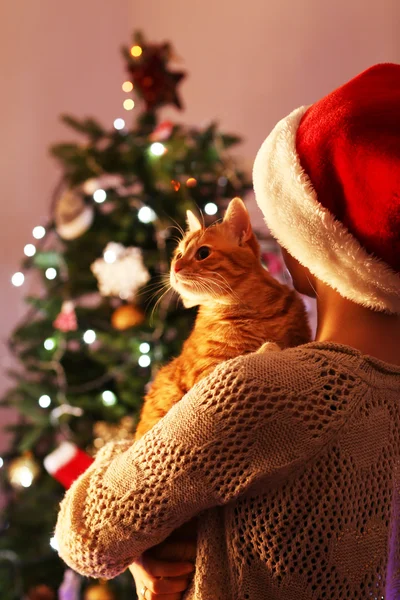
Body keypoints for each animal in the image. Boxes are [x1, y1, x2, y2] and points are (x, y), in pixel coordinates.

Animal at [136, 199, 310, 438]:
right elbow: (249, 356)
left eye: (202, 253)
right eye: (178, 255)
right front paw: (266, 348)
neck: (252, 312)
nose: (175, 268)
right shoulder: (206, 378)